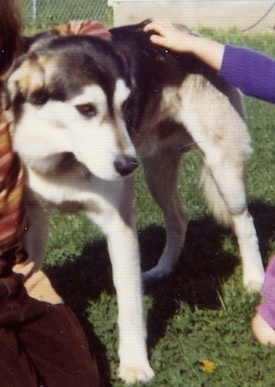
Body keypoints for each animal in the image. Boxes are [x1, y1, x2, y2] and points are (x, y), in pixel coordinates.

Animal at [2, 21, 266, 384]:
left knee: (245, 223)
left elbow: (130, 306)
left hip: (223, 170)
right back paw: (162, 269)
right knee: (179, 218)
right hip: (156, 173)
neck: (60, 158)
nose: (127, 166)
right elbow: (29, 274)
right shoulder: (36, 223)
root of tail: (192, 34)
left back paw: (254, 279)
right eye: (86, 109)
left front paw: (135, 364)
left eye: (125, 107)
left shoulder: (120, 226)